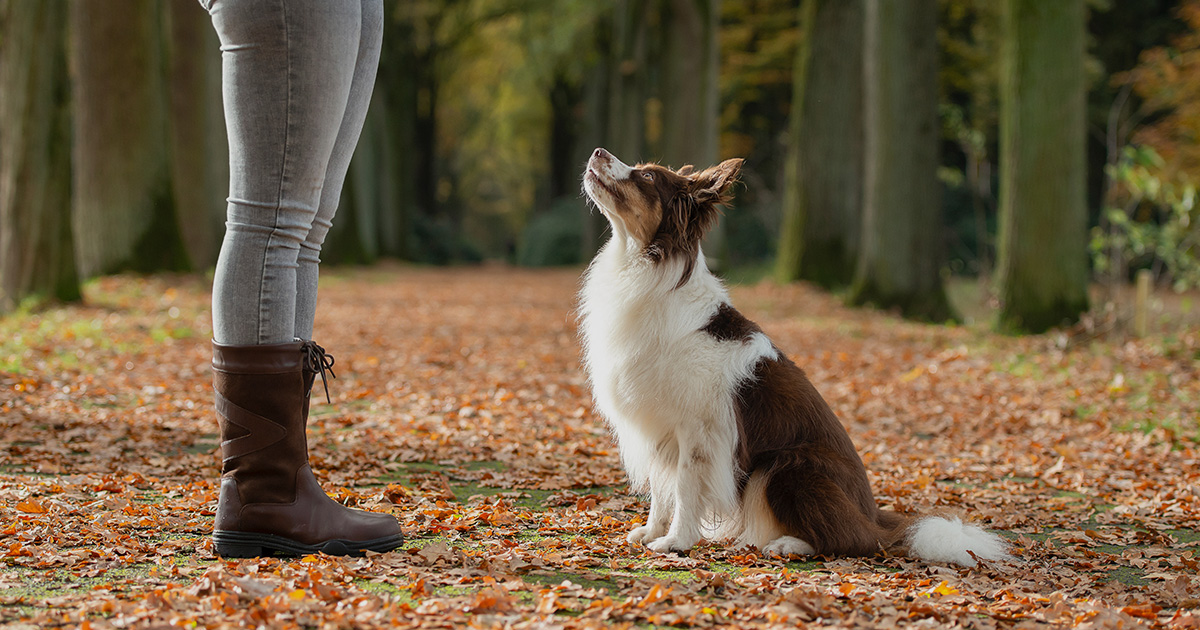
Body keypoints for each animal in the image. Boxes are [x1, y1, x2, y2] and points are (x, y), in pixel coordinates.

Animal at [576, 146, 1008, 564]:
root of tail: (872, 515)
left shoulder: (699, 429)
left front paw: (676, 542)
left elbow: (683, 488)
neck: (648, 267)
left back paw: (789, 545)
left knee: (855, 540)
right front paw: (652, 532)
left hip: (785, 466)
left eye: (648, 176)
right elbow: (661, 488)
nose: (596, 151)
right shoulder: (663, 427)